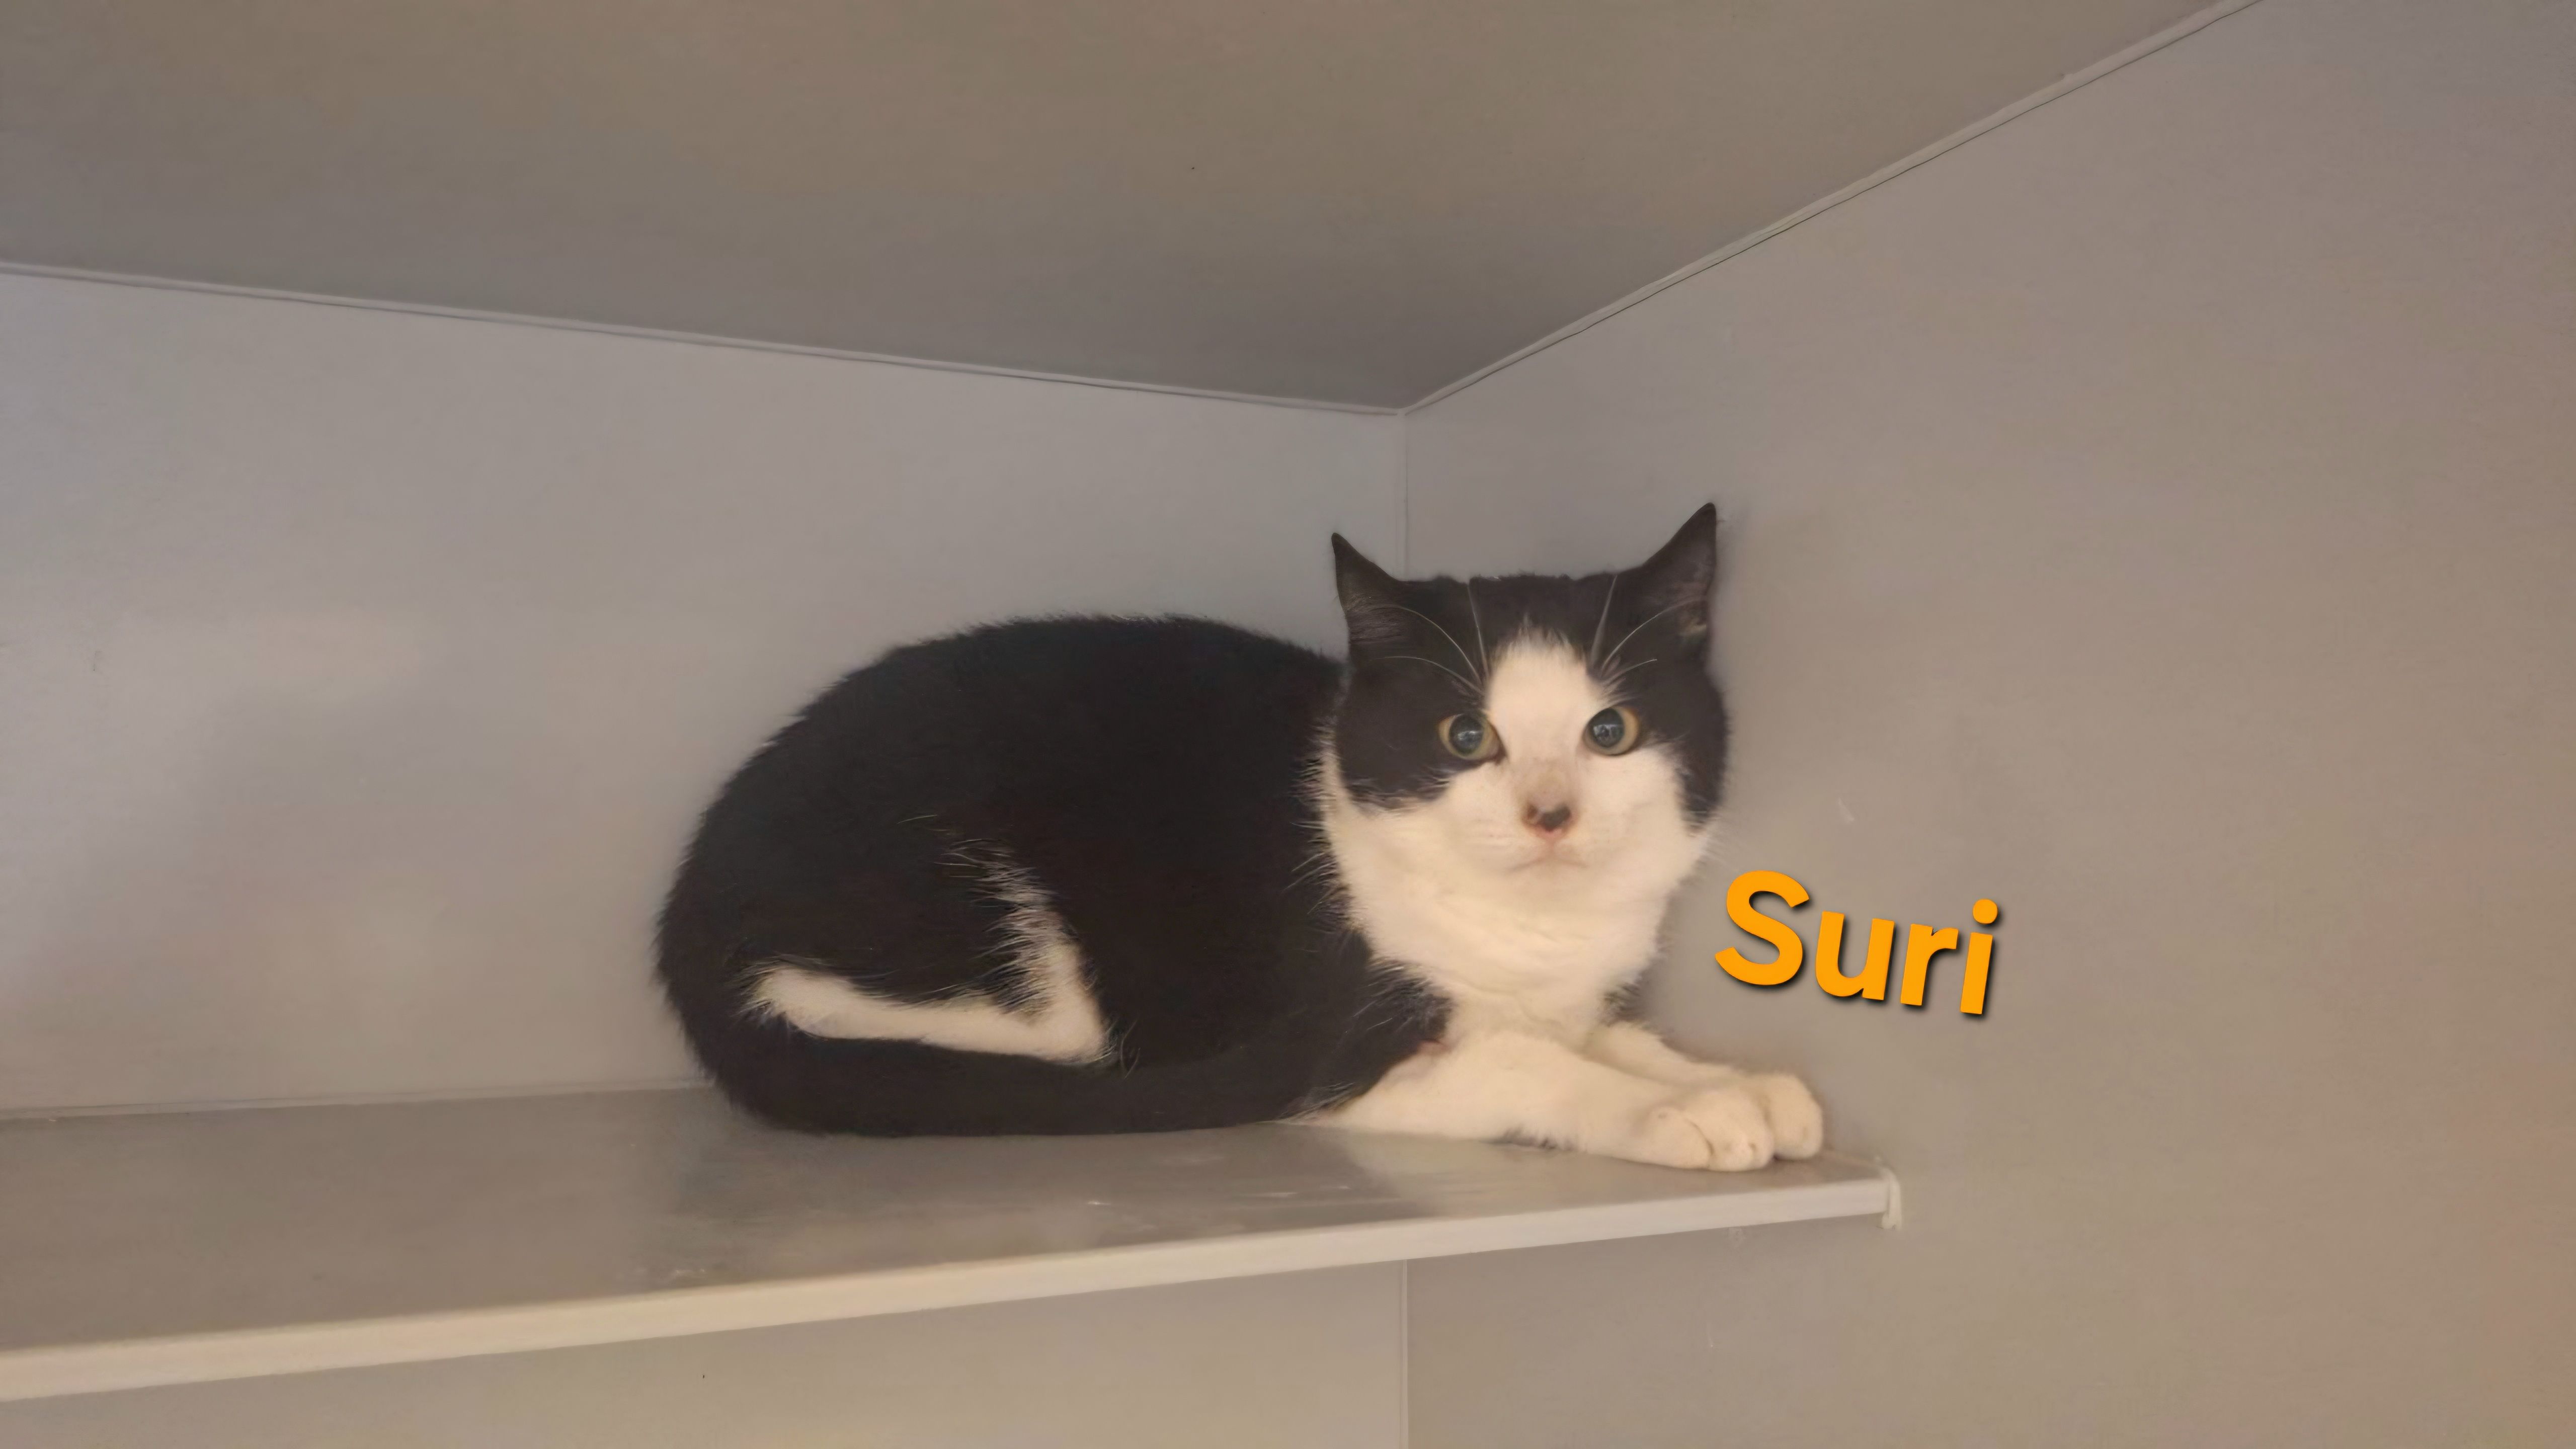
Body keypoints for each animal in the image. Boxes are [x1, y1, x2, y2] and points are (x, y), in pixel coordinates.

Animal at [655, 505, 1822, 1171]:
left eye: (1608, 732)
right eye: (1467, 735)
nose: (1550, 813)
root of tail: (685, 928)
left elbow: (1597, 1033)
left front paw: (1728, 1081)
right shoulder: (1344, 1046)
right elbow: (1526, 1062)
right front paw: (1684, 1112)